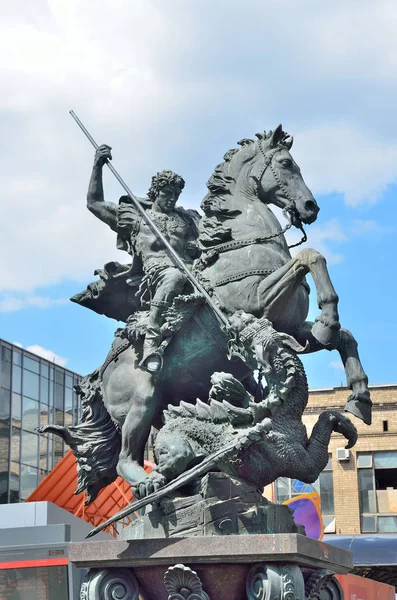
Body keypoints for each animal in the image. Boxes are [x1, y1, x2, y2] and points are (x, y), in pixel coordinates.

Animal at [83, 123, 368, 496]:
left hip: (168, 403)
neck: (243, 244)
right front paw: (329, 314)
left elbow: (342, 336)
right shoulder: (259, 304)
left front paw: (359, 396)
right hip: (141, 399)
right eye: (286, 163)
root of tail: (99, 375)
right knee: (126, 456)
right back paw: (150, 481)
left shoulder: (287, 327)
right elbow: (311, 256)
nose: (310, 207)